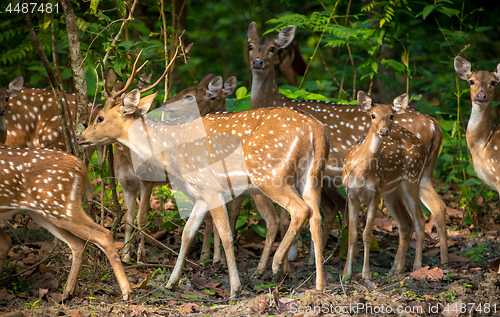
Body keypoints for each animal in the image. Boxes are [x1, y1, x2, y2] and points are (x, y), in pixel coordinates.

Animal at [0, 146, 131, 298]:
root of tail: (81, 166)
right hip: (46, 212)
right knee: (78, 243)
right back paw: (67, 293)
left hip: (58, 205)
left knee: (103, 234)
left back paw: (126, 292)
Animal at [77, 59, 328, 298]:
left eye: (100, 118)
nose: (80, 138)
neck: (171, 150)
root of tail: (315, 130)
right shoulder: (200, 193)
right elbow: (187, 233)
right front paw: (171, 283)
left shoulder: (211, 187)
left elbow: (226, 235)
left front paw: (235, 289)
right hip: (311, 176)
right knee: (316, 217)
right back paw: (319, 286)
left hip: (268, 173)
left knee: (299, 210)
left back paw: (276, 267)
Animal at [344, 90, 426, 276]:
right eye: (372, 115)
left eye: (391, 115)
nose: (384, 131)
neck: (361, 173)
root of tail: (422, 145)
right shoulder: (351, 195)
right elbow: (352, 235)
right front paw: (346, 273)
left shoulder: (375, 194)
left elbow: (367, 234)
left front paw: (366, 274)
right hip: (391, 192)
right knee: (406, 223)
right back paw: (396, 270)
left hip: (412, 178)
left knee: (420, 220)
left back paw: (417, 267)